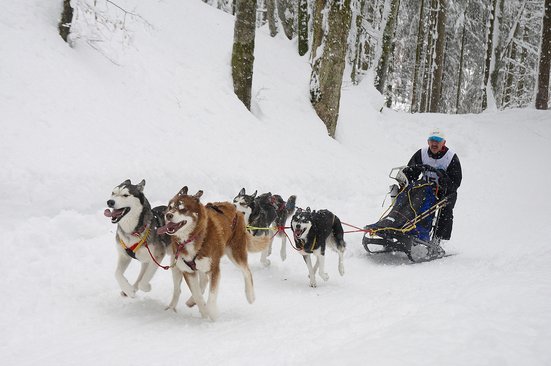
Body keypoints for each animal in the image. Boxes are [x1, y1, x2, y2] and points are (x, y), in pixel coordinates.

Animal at [156, 187, 270, 318]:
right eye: (170, 207)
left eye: (182, 208)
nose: (168, 215)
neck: (193, 237)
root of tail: (232, 206)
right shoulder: (188, 271)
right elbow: (198, 296)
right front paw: (204, 312)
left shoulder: (214, 269)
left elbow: (212, 296)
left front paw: (212, 313)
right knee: (202, 281)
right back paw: (190, 301)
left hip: (235, 253)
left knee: (246, 271)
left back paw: (250, 296)